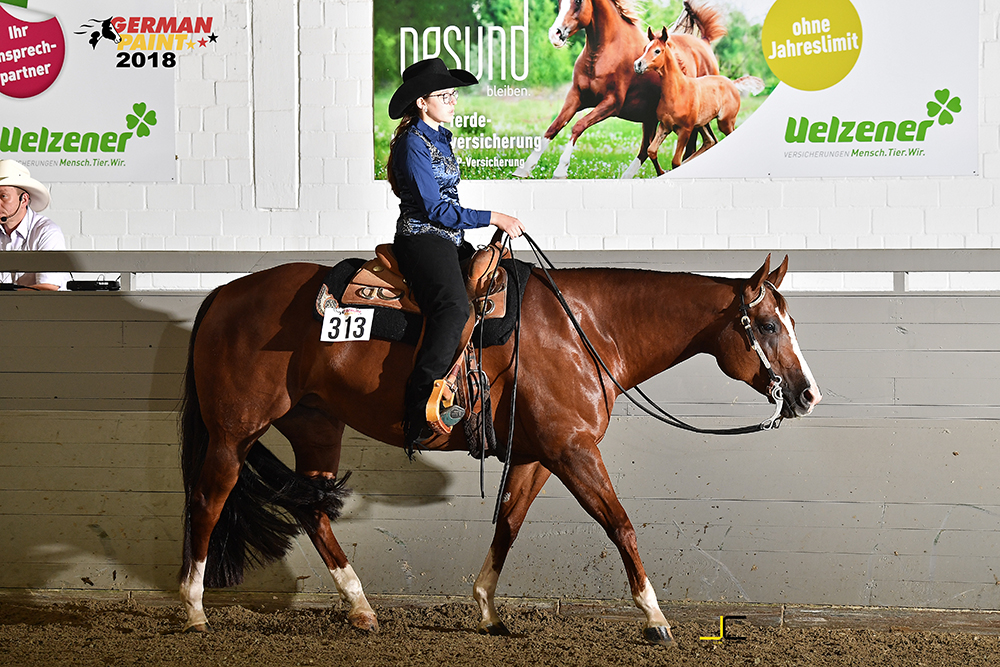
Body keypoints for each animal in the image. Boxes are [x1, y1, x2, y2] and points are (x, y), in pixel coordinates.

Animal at [178, 253, 821, 645]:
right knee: (208, 502)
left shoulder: (537, 454)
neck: (583, 328)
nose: (808, 394)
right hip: (234, 433)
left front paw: (487, 608)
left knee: (311, 510)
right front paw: (655, 618)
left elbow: (507, 523)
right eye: (767, 325)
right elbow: (620, 524)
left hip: (316, 426)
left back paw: (361, 608)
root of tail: (225, 294)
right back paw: (193, 607)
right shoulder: (573, 449)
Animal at [513, 0, 726, 180]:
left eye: (579, 2)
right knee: (646, 149)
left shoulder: (611, 104)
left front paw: (560, 170)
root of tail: (705, 43)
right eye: (559, 2)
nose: (555, 34)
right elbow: (554, 127)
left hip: (691, 121)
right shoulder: (576, 97)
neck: (604, 52)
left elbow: (578, 126)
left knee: (692, 146)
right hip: (650, 118)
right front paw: (524, 168)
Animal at [634, 27, 764, 173]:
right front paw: (662, 172)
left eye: (657, 50)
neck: (678, 92)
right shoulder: (664, 126)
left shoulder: (685, 130)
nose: (637, 65)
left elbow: (675, 162)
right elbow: (651, 151)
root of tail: (732, 83)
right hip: (702, 123)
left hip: (725, 122)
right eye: (645, 48)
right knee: (710, 141)